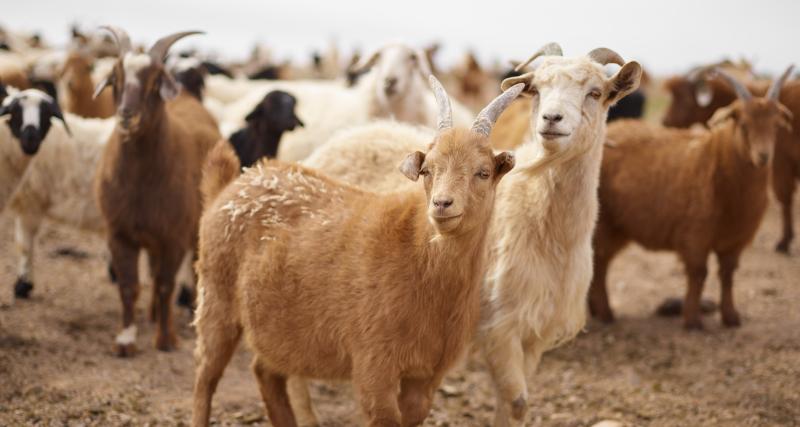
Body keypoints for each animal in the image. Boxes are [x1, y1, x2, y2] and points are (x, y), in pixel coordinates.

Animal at [94, 27, 222, 358]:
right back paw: (151, 314)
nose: (127, 114)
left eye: (154, 82)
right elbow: (129, 286)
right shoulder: (119, 233)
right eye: (116, 78)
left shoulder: (173, 237)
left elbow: (166, 285)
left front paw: (166, 339)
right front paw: (125, 340)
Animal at [191, 76, 520, 427]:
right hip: (215, 300)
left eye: (483, 172)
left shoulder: (427, 374)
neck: (415, 252)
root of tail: (229, 187)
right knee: (206, 377)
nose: (442, 204)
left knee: (266, 371)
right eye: (427, 170)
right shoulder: (374, 364)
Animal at [588, 67, 792, 330]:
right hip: (604, 225)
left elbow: (728, 274)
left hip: (618, 227)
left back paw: (595, 310)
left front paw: (731, 317)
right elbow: (698, 273)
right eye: (743, 124)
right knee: (600, 263)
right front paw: (693, 319)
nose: (763, 156)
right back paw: (605, 313)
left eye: (776, 125)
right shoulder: (695, 235)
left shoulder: (735, 240)